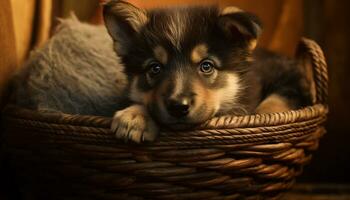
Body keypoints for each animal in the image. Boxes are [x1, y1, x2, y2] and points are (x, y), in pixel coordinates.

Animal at [102, 0, 314, 143]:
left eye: (206, 66)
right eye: (155, 68)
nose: (178, 107)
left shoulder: (288, 76)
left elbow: (277, 99)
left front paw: (264, 118)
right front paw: (135, 116)